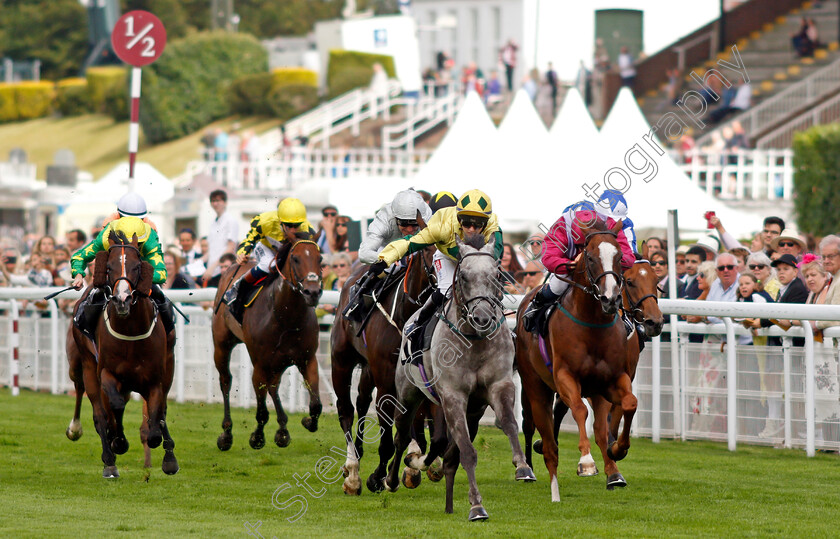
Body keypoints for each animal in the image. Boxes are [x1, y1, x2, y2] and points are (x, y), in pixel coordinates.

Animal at [67, 230, 177, 478]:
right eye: (109, 267)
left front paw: (167, 457)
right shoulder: (107, 373)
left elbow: (158, 418)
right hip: (87, 367)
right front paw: (119, 442)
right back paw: (108, 460)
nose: (122, 299)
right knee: (99, 413)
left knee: (162, 411)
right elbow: (115, 407)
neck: (130, 331)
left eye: (137, 266)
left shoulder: (155, 379)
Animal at [212, 238, 324, 454]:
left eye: (320, 258)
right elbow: (262, 411)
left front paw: (306, 422)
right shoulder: (260, 364)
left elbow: (316, 404)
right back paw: (226, 433)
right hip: (221, 345)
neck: (286, 317)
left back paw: (282, 429)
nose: (313, 292)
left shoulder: (308, 359)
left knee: (273, 386)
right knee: (226, 381)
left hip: (277, 362)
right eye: (295, 259)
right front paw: (256, 437)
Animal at [330, 247, 436, 496]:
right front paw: (378, 477)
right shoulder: (386, 380)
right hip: (341, 361)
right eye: (428, 250)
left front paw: (410, 467)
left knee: (361, 402)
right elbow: (387, 438)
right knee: (346, 410)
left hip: (369, 370)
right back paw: (352, 471)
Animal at [384, 234, 536, 520]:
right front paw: (476, 506)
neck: (473, 341)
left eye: (497, 275)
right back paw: (391, 478)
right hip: (408, 395)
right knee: (401, 437)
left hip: (471, 412)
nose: (482, 317)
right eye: (463, 276)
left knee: (446, 450)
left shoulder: (499, 385)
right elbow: (466, 451)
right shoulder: (453, 396)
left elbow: (509, 424)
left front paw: (523, 467)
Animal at [512, 220, 636, 502]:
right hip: (535, 387)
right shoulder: (565, 376)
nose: (610, 299)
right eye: (589, 257)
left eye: (619, 257)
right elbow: (578, 409)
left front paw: (618, 450)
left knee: (599, 429)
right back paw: (550, 488)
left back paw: (614, 473)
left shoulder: (612, 379)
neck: (592, 323)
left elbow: (629, 404)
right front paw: (587, 462)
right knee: (548, 444)